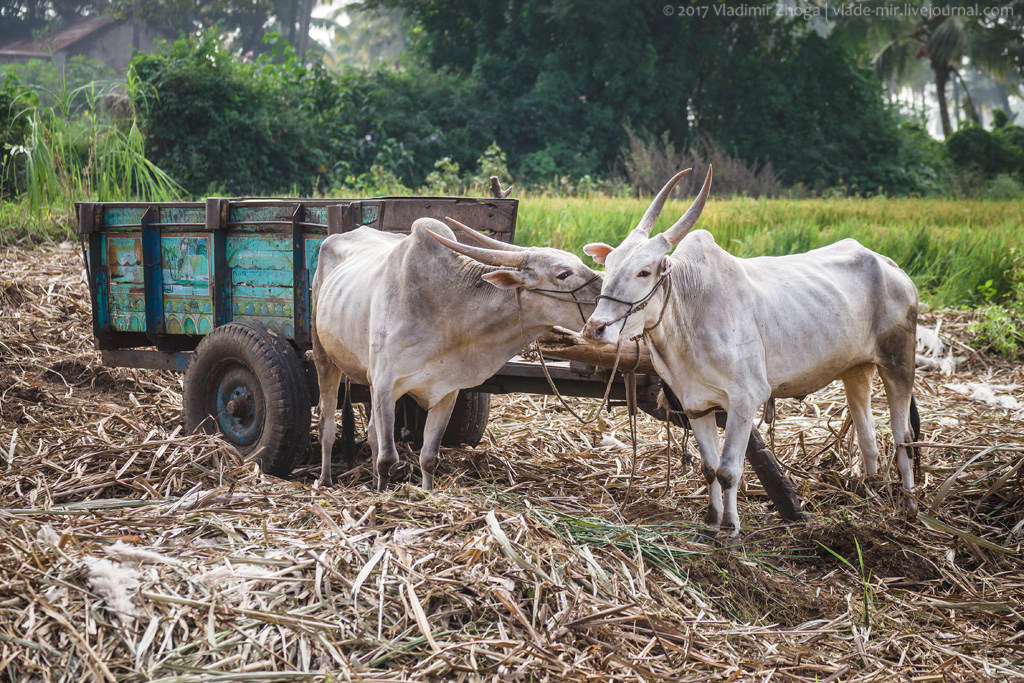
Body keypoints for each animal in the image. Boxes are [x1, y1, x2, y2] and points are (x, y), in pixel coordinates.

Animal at [311, 216, 598, 489]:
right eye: (563, 274)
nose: (603, 294)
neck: (445, 307)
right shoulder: (385, 384)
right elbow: (388, 459)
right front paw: (382, 494)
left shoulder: (446, 390)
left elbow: (428, 456)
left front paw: (424, 492)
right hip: (323, 356)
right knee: (327, 424)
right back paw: (325, 480)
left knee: (372, 434)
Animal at [585, 167, 921, 536]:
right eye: (609, 265)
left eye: (644, 271)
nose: (594, 328)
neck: (689, 310)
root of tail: (889, 265)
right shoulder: (695, 405)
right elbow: (709, 468)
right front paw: (712, 522)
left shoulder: (745, 399)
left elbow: (728, 470)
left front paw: (731, 528)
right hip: (856, 369)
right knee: (867, 435)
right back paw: (872, 498)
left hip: (898, 363)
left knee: (903, 435)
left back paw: (909, 507)